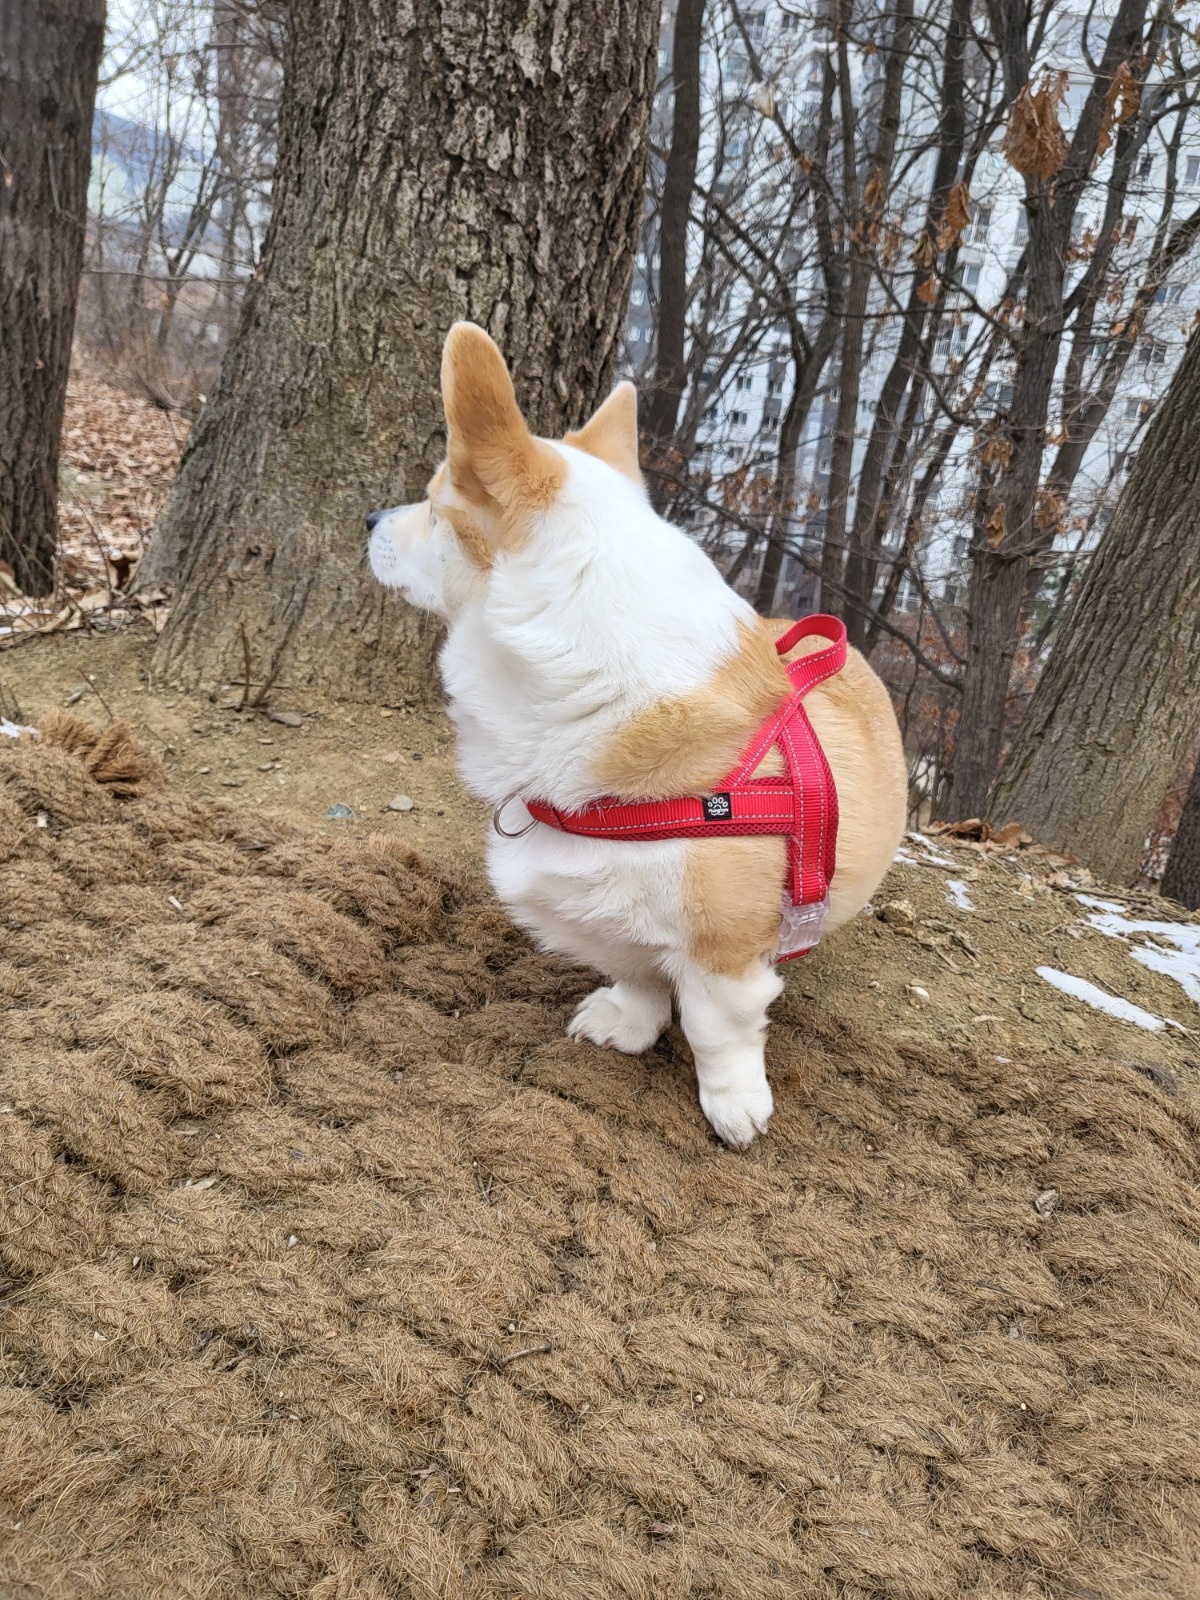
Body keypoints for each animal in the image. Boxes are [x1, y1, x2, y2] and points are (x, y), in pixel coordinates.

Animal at [371, 324, 908, 1152]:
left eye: (432, 507)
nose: (368, 522)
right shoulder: (613, 917)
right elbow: (637, 970)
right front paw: (626, 1020)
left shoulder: (725, 952)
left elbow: (717, 1030)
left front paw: (734, 1106)